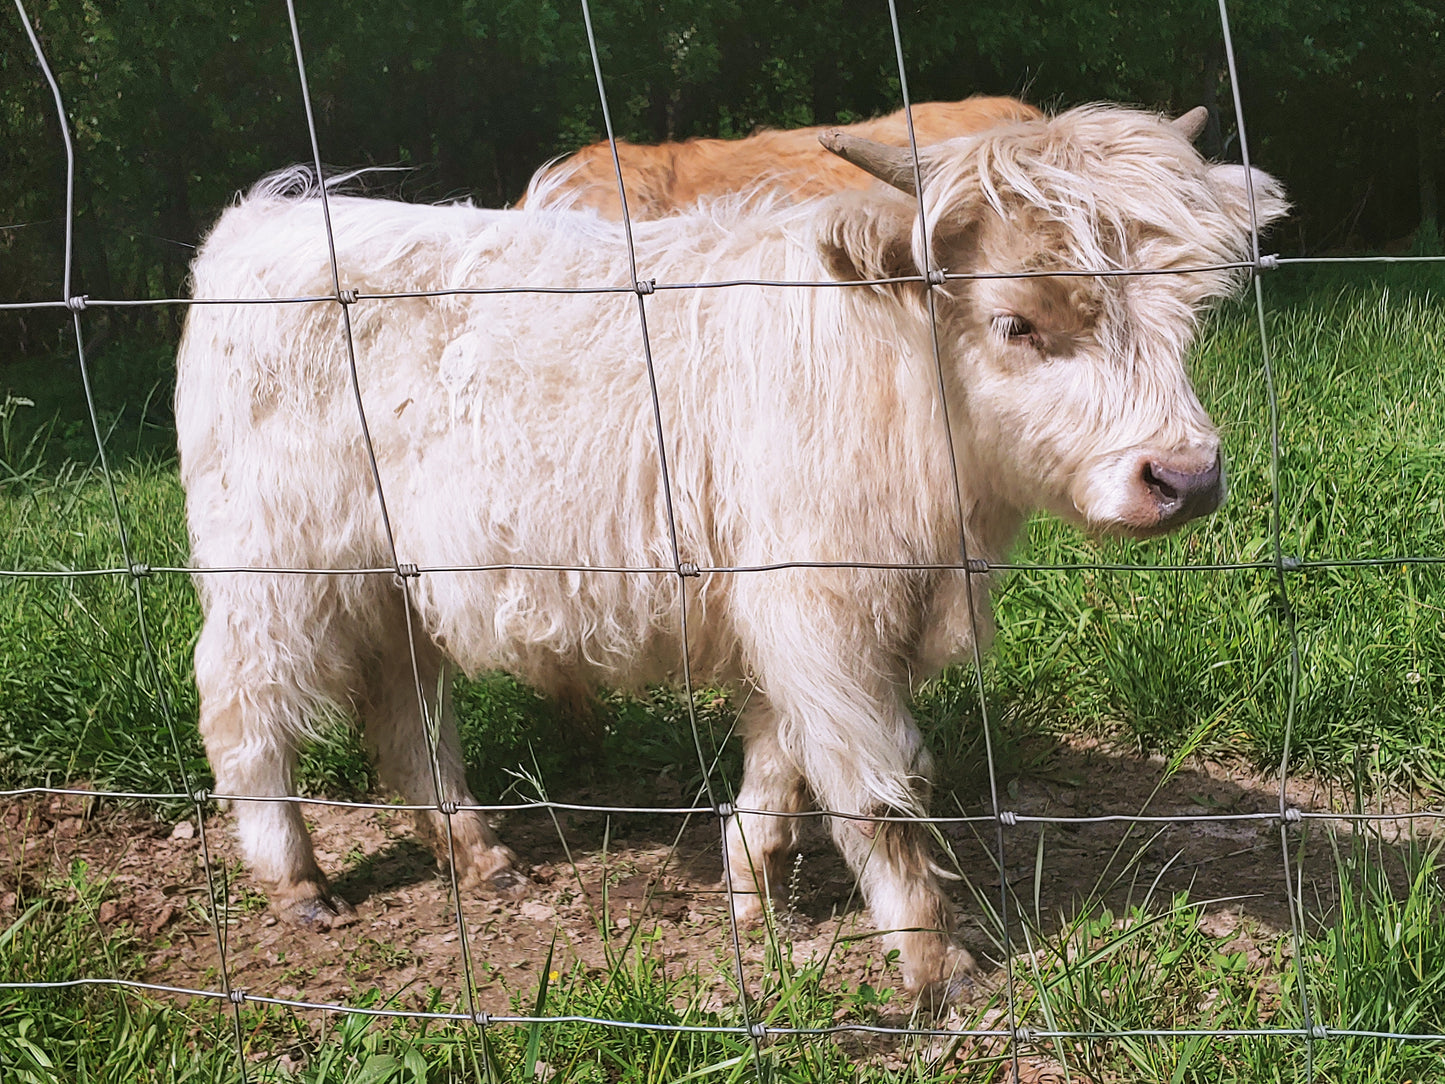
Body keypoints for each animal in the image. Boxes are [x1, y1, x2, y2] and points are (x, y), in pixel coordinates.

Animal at [175, 104, 1285, 1006]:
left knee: (407, 710)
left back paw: (478, 853)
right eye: (1016, 320)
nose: (1184, 478)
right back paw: (296, 880)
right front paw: (934, 965)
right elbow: (876, 790)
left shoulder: (804, 618)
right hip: (273, 571)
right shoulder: (822, 613)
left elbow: (777, 766)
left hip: (396, 583)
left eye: (1188, 314)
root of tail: (264, 220)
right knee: (243, 705)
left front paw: (752, 891)